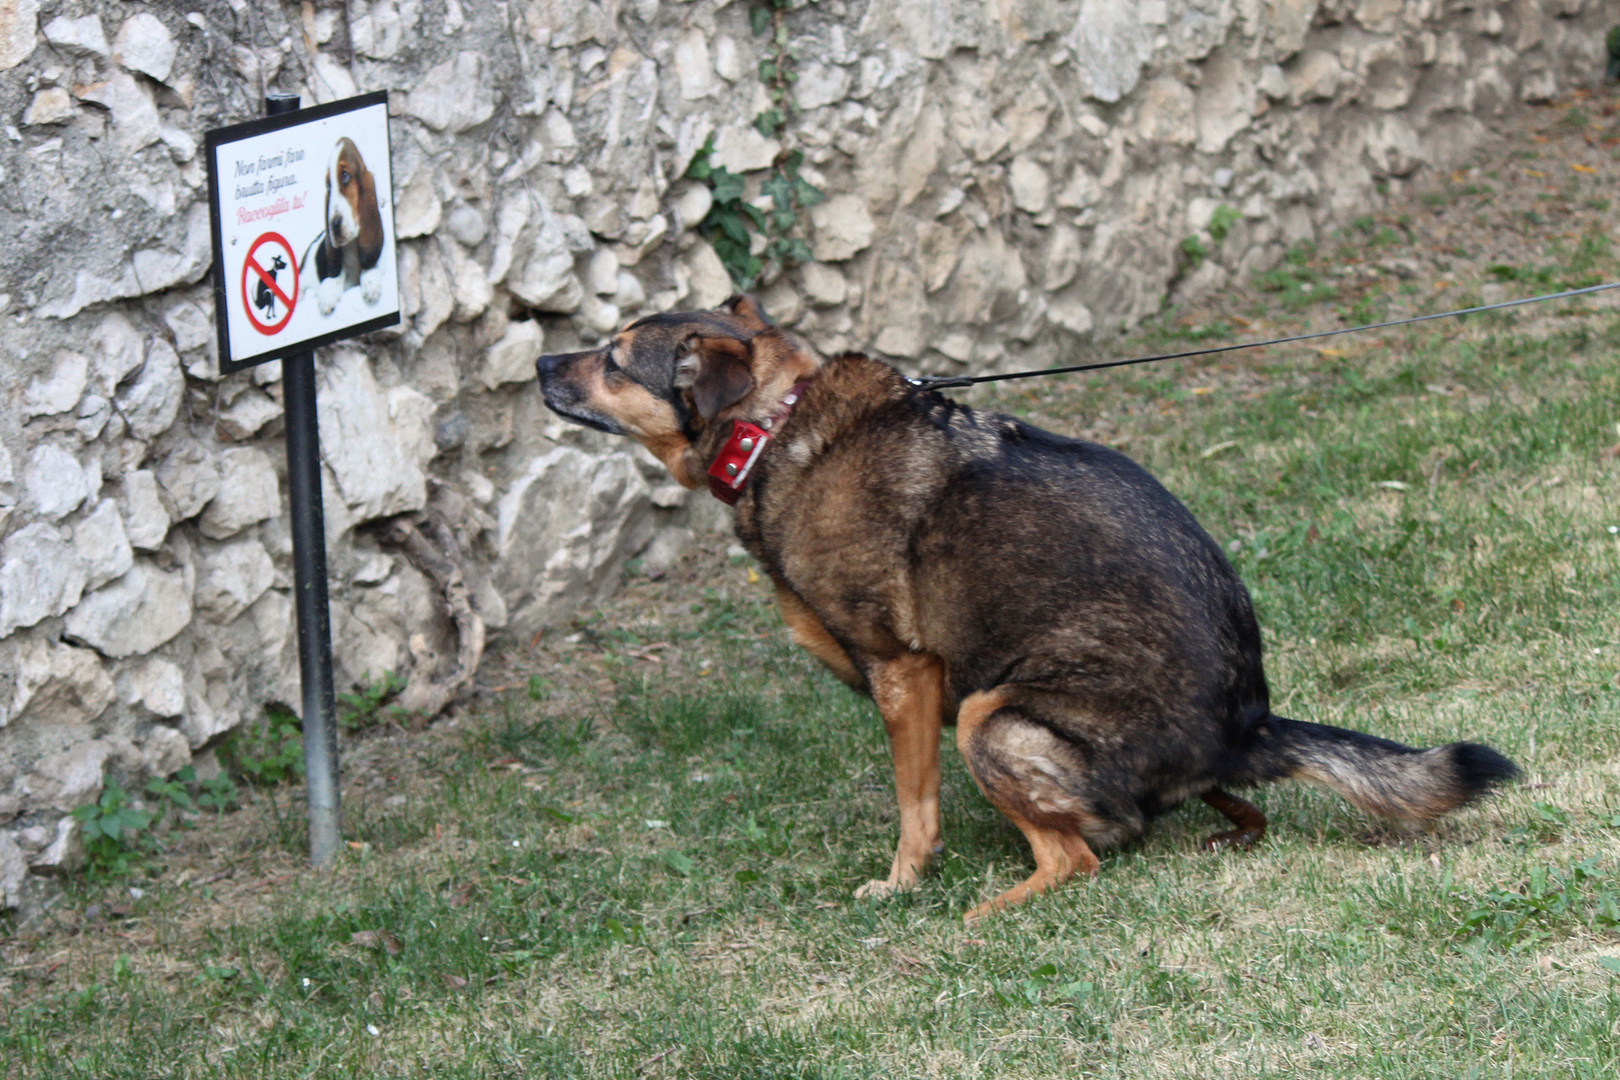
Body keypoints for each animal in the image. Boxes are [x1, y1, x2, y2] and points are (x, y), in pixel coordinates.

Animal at [302, 137, 383, 314]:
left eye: (345, 176)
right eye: (328, 185)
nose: (334, 225)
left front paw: (370, 283)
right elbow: (335, 276)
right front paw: (328, 294)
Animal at [534, 296, 1516, 919]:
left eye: (614, 358)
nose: (539, 358)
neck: (773, 425)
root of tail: (1250, 725)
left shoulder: (906, 672)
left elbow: (915, 805)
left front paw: (904, 884)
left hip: (989, 714)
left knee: (1083, 855)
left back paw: (997, 905)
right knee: (1233, 814)